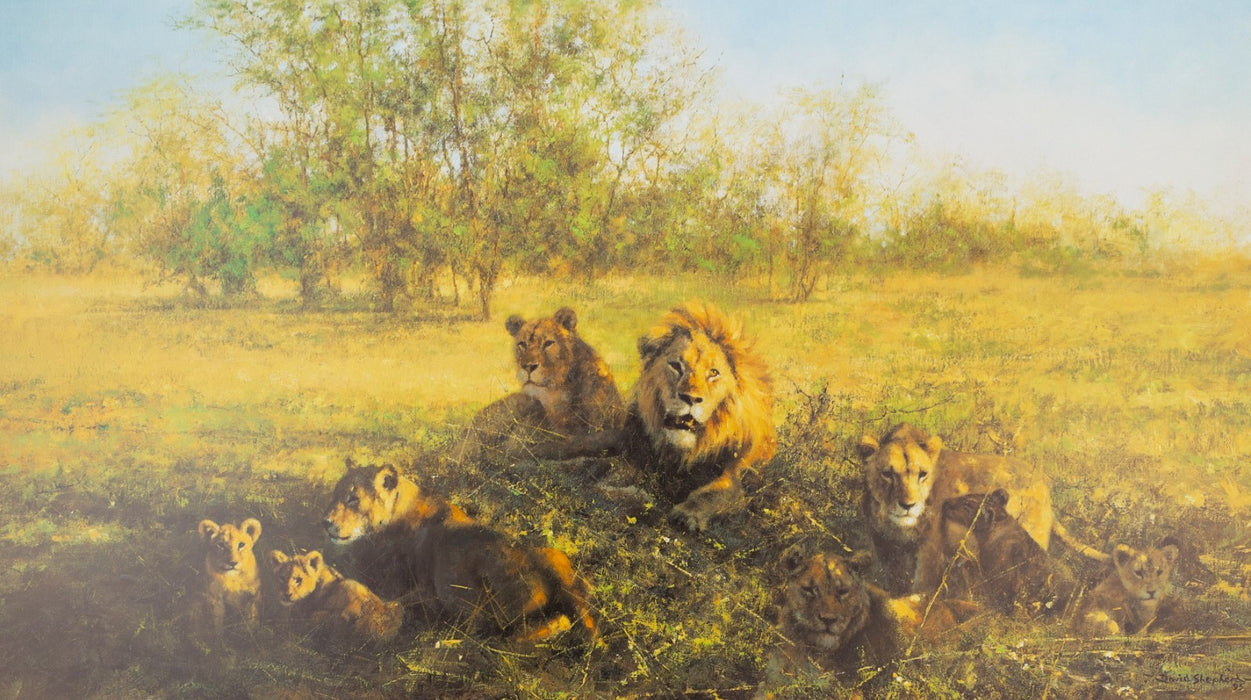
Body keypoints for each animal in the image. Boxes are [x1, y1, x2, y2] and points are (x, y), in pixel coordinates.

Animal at [323, 460, 595, 641]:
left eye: (353, 499)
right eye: (335, 494)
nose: (325, 522)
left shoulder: (420, 590)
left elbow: (388, 599)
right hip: (556, 557)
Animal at [533, 301, 776, 532]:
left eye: (714, 373)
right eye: (676, 365)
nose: (690, 398)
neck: (678, 452)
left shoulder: (735, 472)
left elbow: (717, 491)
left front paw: (686, 514)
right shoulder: (633, 447)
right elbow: (594, 457)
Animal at [857, 423, 1106, 595]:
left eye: (922, 474)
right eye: (887, 474)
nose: (908, 505)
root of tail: (1043, 485)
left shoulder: (931, 550)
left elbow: (921, 589)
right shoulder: (881, 545)